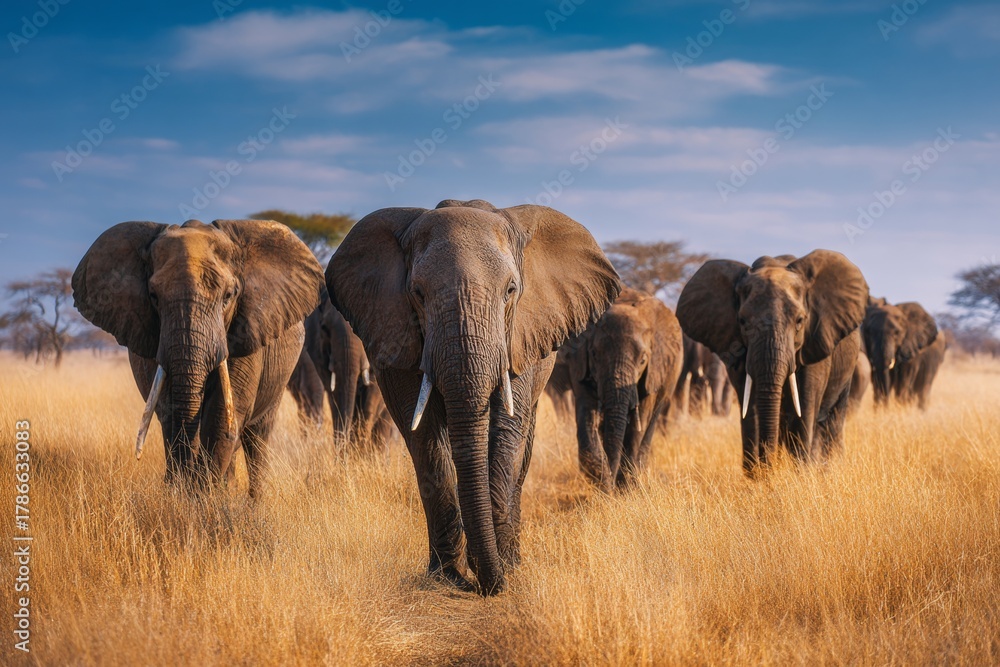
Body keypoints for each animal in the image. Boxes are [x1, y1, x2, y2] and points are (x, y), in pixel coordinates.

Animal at [72, 219, 324, 495]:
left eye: (228, 296)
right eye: (154, 296)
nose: (178, 484)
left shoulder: (246, 330)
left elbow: (221, 413)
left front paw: (204, 497)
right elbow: (170, 407)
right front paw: (184, 494)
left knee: (257, 436)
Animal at [327, 199, 620, 595]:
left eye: (511, 290)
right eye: (418, 293)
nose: (489, 585)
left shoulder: (521, 334)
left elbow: (507, 428)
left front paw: (501, 569)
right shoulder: (397, 330)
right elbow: (423, 436)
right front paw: (447, 576)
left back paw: (511, 558)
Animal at [561, 287, 683, 491]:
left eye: (643, 360)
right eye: (595, 354)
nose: (610, 485)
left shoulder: (653, 370)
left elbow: (640, 420)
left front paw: (625, 488)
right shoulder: (579, 362)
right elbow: (587, 411)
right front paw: (603, 482)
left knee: (652, 418)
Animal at [676, 251, 869, 475]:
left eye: (800, 321)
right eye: (742, 321)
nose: (769, 466)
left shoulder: (815, 342)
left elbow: (805, 401)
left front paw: (800, 473)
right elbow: (749, 404)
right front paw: (757, 476)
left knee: (833, 417)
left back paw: (829, 466)